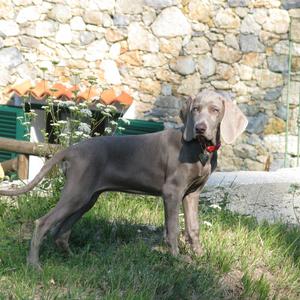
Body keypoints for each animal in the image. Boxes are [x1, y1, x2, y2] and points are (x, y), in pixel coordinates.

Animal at [0, 89, 247, 270]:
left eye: (215, 110)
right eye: (195, 109)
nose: (200, 128)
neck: (200, 148)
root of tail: (72, 149)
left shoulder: (192, 194)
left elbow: (193, 227)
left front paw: (200, 257)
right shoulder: (172, 192)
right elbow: (173, 227)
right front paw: (177, 259)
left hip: (87, 198)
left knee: (61, 231)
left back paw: (74, 259)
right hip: (77, 193)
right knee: (43, 223)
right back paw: (34, 265)